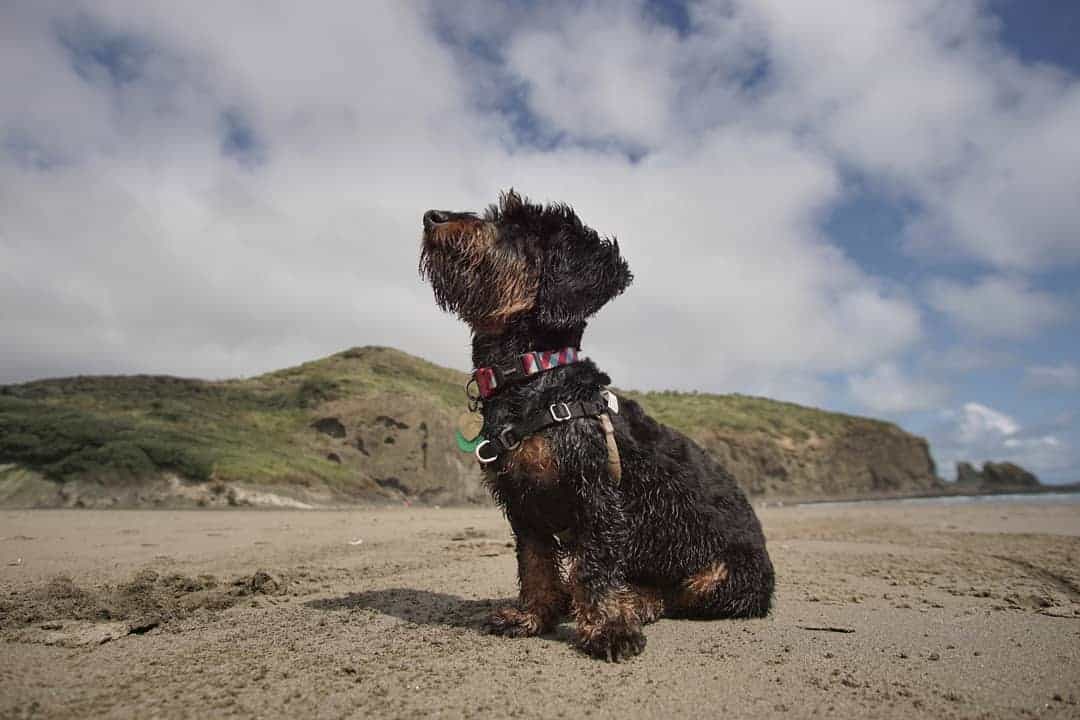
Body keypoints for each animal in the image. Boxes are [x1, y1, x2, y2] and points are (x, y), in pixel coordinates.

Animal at [416, 188, 773, 660]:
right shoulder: (521, 502)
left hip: (716, 577)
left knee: (673, 595)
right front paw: (532, 616)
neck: (533, 376)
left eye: (517, 227)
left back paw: (630, 604)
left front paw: (606, 628)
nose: (432, 216)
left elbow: (597, 566)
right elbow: (534, 564)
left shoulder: (597, 496)